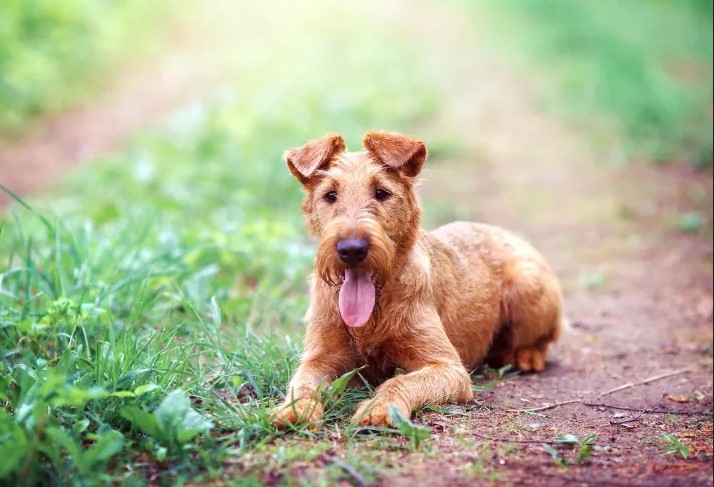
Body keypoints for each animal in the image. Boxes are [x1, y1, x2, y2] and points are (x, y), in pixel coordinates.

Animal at [272, 132, 560, 428]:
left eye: (381, 192)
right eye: (330, 195)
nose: (351, 249)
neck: (374, 312)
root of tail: (505, 233)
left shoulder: (448, 367)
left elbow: (399, 381)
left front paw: (379, 407)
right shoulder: (319, 358)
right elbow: (302, 383)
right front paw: (294, 409)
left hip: (527, 283)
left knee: (543, 339)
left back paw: (525, 356)